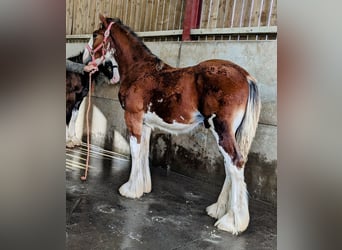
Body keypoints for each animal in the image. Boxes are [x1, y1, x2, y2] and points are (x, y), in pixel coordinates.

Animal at [92, 15, 260, 234]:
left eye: (95, 34)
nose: (89, 60)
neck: (141, 71)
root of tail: (245, 77)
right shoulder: (145, 124)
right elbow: (143, 151)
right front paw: (143, 187)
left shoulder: (133, 118)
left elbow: (135, 151)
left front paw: (130, 190)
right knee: (231, 166)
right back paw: (219, 210)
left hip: (221, 129)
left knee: (235, 162)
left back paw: (232, 222)